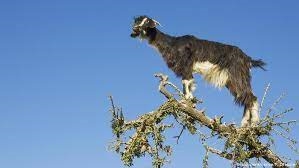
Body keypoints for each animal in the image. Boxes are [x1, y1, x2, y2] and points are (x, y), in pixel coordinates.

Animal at [130, 15, 266, 126]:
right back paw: (244, 124)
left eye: (147, 22)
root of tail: (247, 59)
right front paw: (190, 100)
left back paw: (254, 122)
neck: (172, 44)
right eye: (137, 21)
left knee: (251, 97)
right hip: (232, 80)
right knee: (246, 97)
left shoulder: (186, 67)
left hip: (237, 75)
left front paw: (186, 100)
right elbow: (190, 84)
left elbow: (186, 83)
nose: (135, 29)